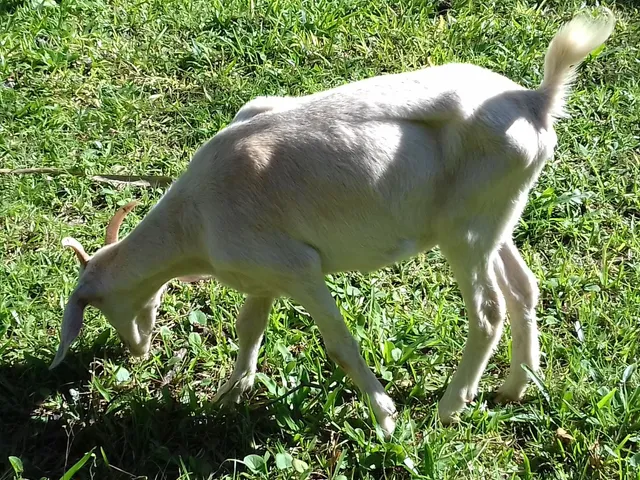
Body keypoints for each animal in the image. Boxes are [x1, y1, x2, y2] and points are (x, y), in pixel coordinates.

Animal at [50, 10, 615, 437]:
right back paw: (515, 386)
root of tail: (535, 102)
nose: (137, 350)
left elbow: (340, 346)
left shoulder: (299, 269)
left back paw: (451, 406)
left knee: (489, 311)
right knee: (523, 287)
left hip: (467, 230)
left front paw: (386, 419)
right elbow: (249, 327)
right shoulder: (264, 273)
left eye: (99, 306)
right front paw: (230, 393)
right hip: (496, 214)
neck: (195, 221)